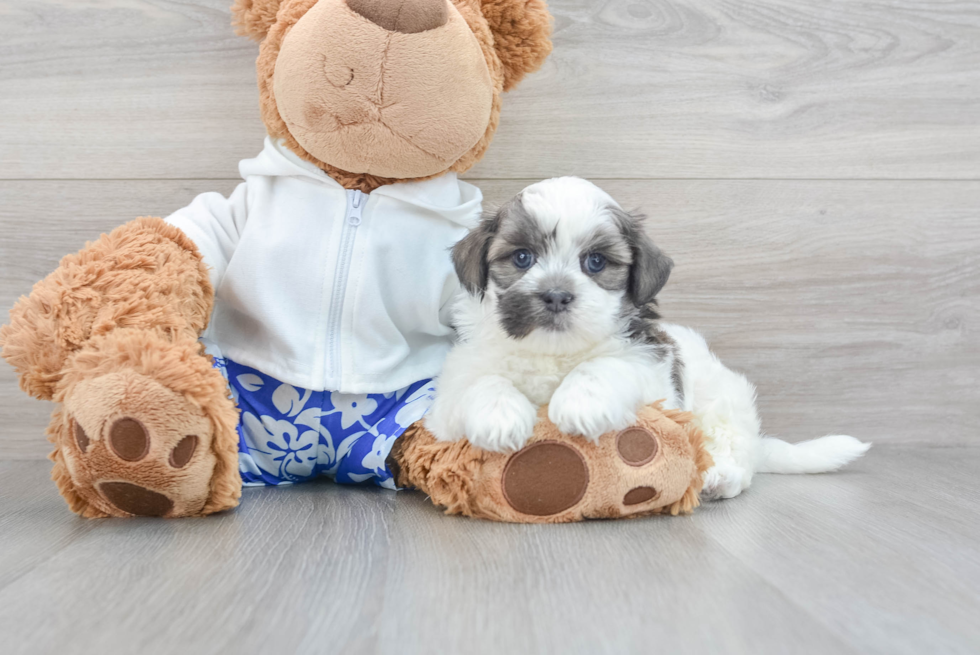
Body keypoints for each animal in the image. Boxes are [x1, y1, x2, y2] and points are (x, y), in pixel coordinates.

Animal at [424, 177, 868, 500]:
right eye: (521, 258)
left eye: (596, 262)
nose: (555, 295)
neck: (554, 354)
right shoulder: (449, 394)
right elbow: (480, 382)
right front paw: (498, 415)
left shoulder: (652, 371)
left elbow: (607, 365)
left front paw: (580, 401)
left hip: (723, 402)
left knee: (732, 447)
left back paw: (719, 477)